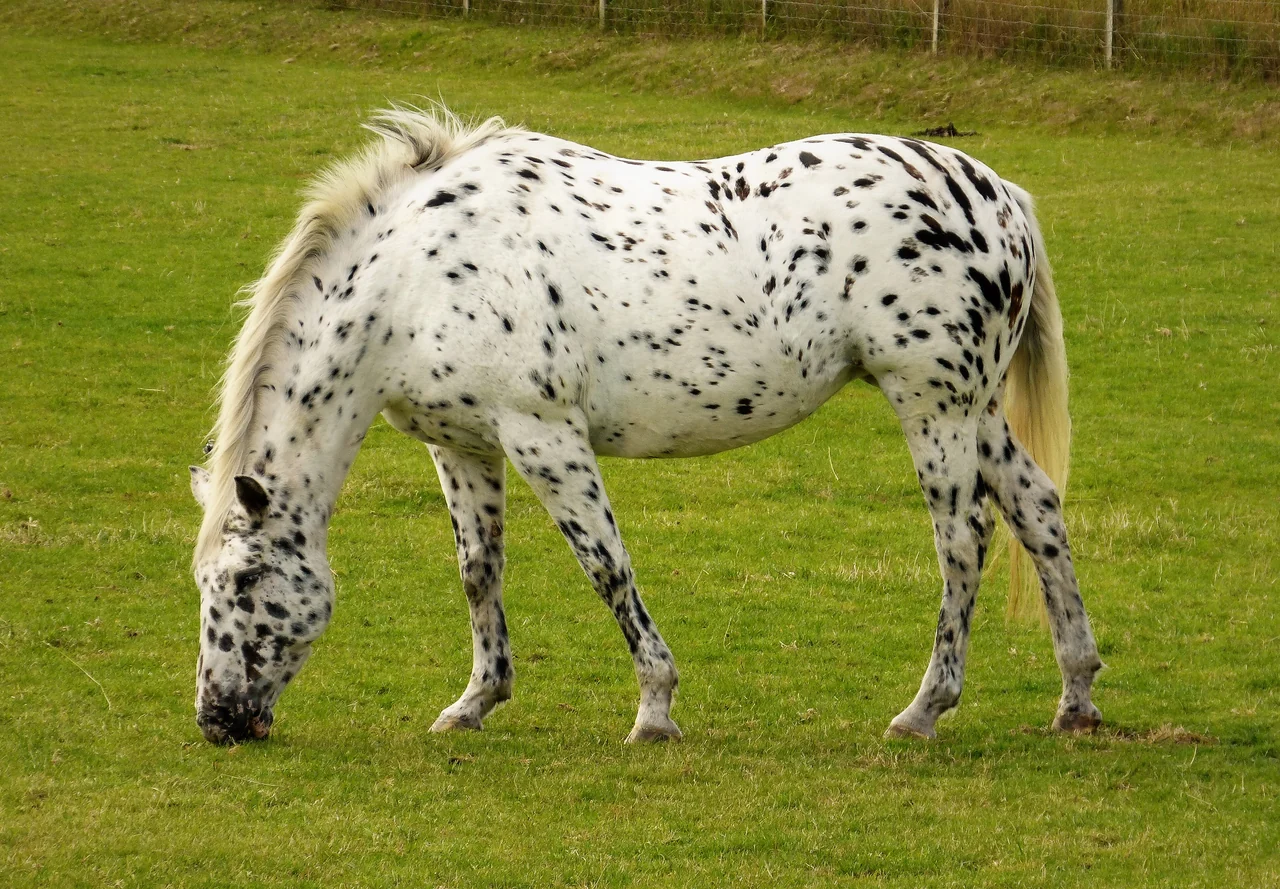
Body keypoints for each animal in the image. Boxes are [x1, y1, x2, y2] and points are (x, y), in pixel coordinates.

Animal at [189, 106, 1103, 745]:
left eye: (244, 583)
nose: (216, 718)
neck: (417, 273)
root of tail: (1001, 198)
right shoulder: (463, 445)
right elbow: (479, 571)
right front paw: (474, 701)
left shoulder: (545, 436)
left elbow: (606, 566)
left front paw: (655, 709)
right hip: (977, 411)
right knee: (1038, 512)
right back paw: (1077, 696)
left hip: (933, 407)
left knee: (965, 538)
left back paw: (924, 709)